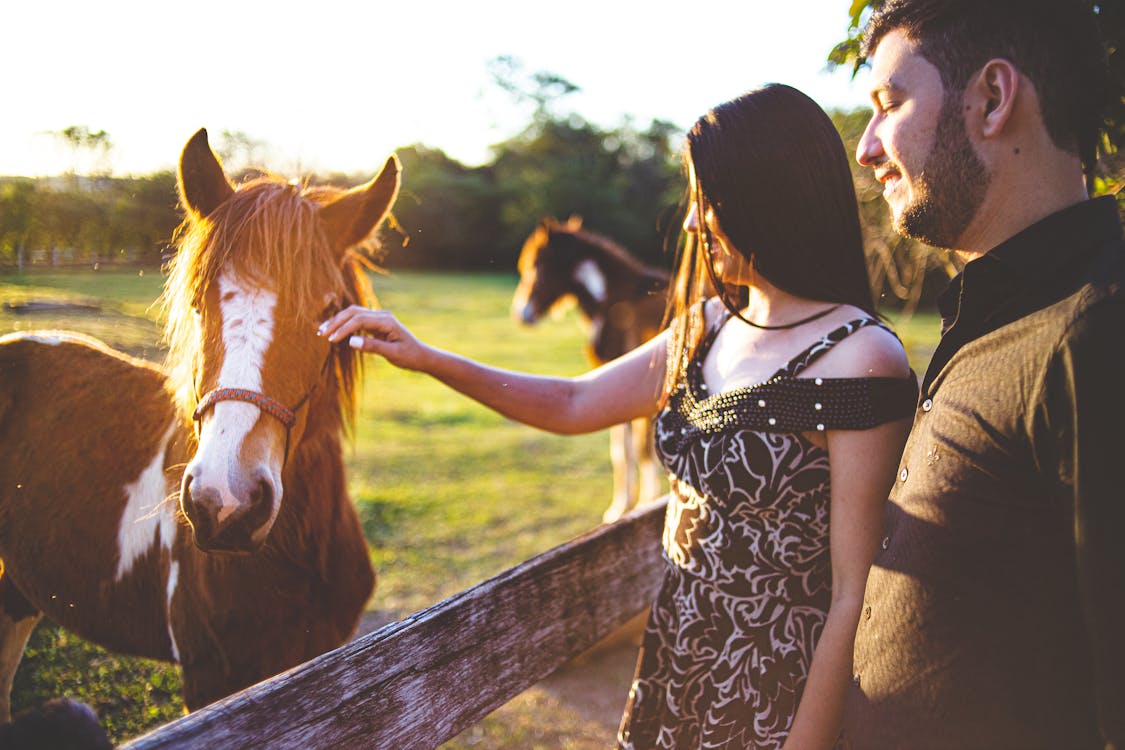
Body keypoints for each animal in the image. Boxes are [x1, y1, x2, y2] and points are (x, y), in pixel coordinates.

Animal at [515, 217, 670, 521]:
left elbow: (637, 449)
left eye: (537, 264)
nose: (521, 313)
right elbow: (623, 451)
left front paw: (640, 503)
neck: (613, 303)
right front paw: (623, 506)